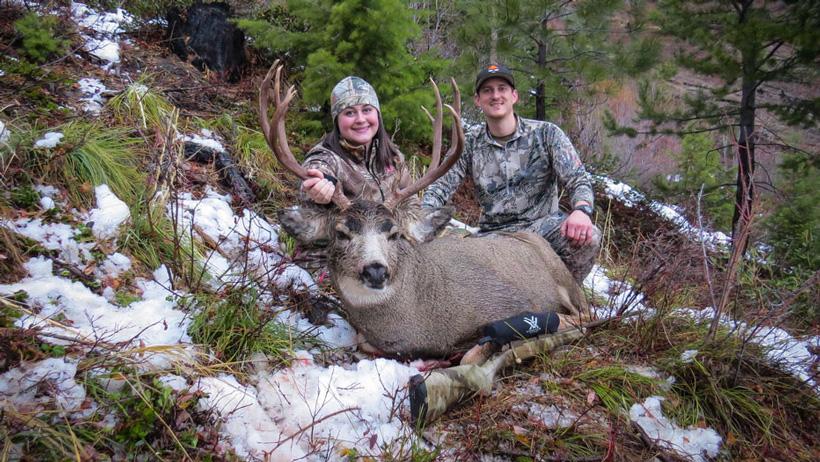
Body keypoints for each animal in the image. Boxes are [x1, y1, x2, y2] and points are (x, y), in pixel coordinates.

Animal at [259, 62, 591, 361]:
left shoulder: (502, 312)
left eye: (393, 233)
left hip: (568, 283)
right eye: (341, 233)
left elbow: (475, 352)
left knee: (585, 314)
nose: (376, 270)